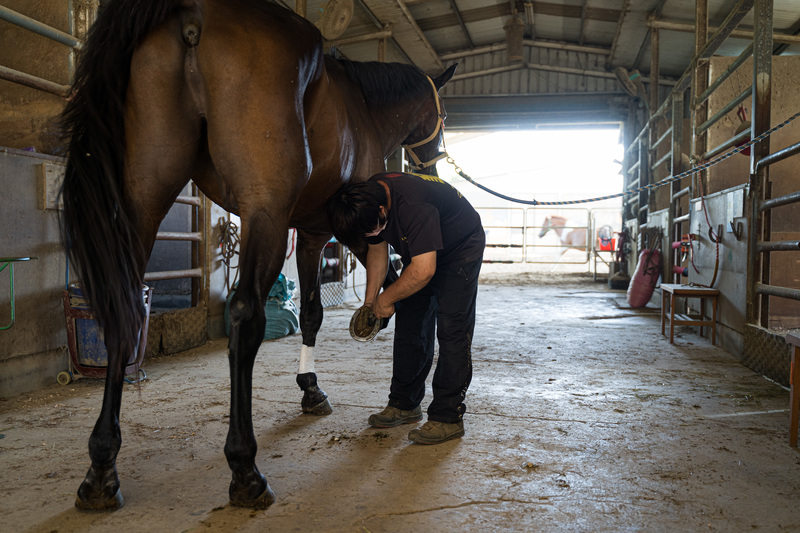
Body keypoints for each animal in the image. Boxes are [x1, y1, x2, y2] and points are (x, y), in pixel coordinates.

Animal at [59, 0, 454, 512]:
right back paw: (245, 470)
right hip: (263, 211)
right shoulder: (336, 231)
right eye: (442, 113)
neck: (364, 108)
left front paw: (313, 386)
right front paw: (322, 380)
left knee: (124, 305)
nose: (436, 165)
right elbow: (342, 298)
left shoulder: (309, 232)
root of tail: (191, 13)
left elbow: (317, 311)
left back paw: (102, 468)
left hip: (144, 198)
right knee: (245, 315)